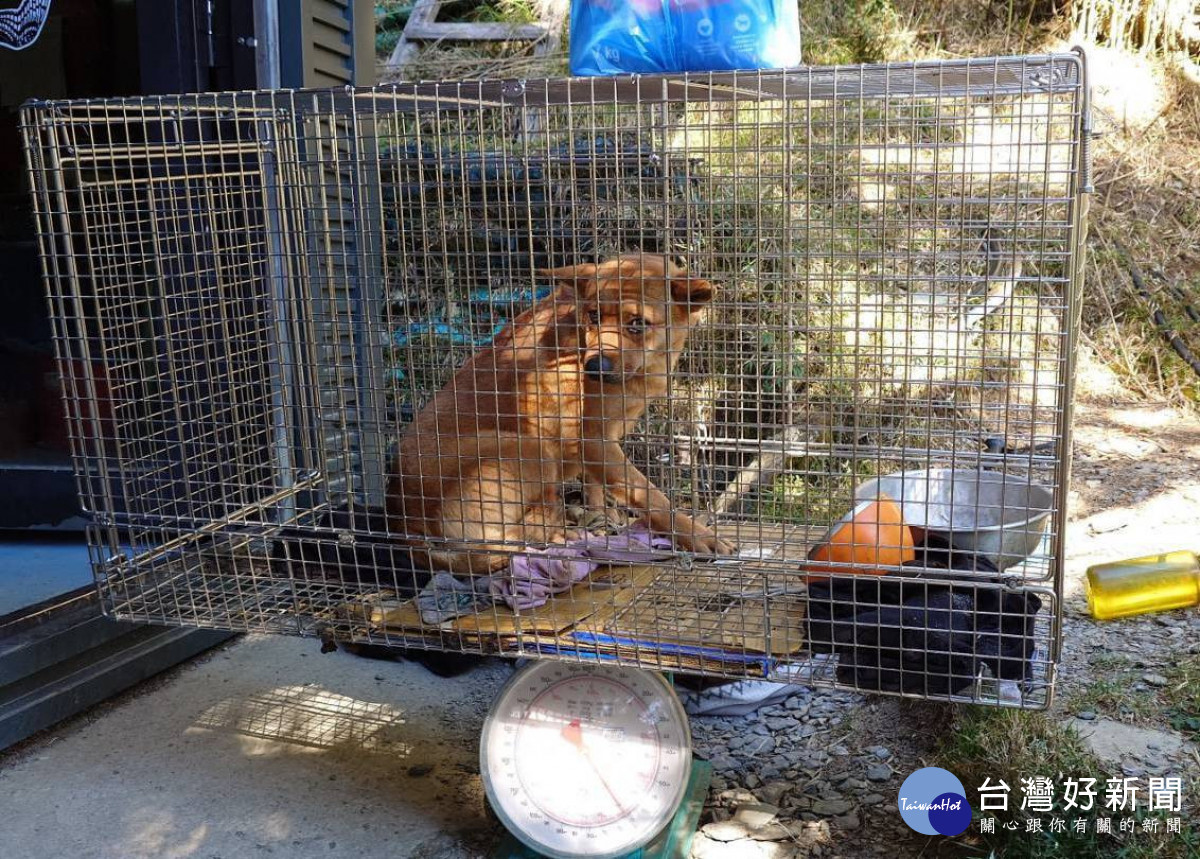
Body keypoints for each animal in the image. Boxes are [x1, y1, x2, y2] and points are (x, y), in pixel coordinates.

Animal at [388, 253, 734, 571]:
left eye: (638, 323)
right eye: (593, 315)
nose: (594, 366)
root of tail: (406, 524)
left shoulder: (602, 442)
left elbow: (595, 486)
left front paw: (601, 515)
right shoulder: (595, 440)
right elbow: (651, 496)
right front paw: (697, 534)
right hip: (528, 448)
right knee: (511, 538)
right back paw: (559, 533)